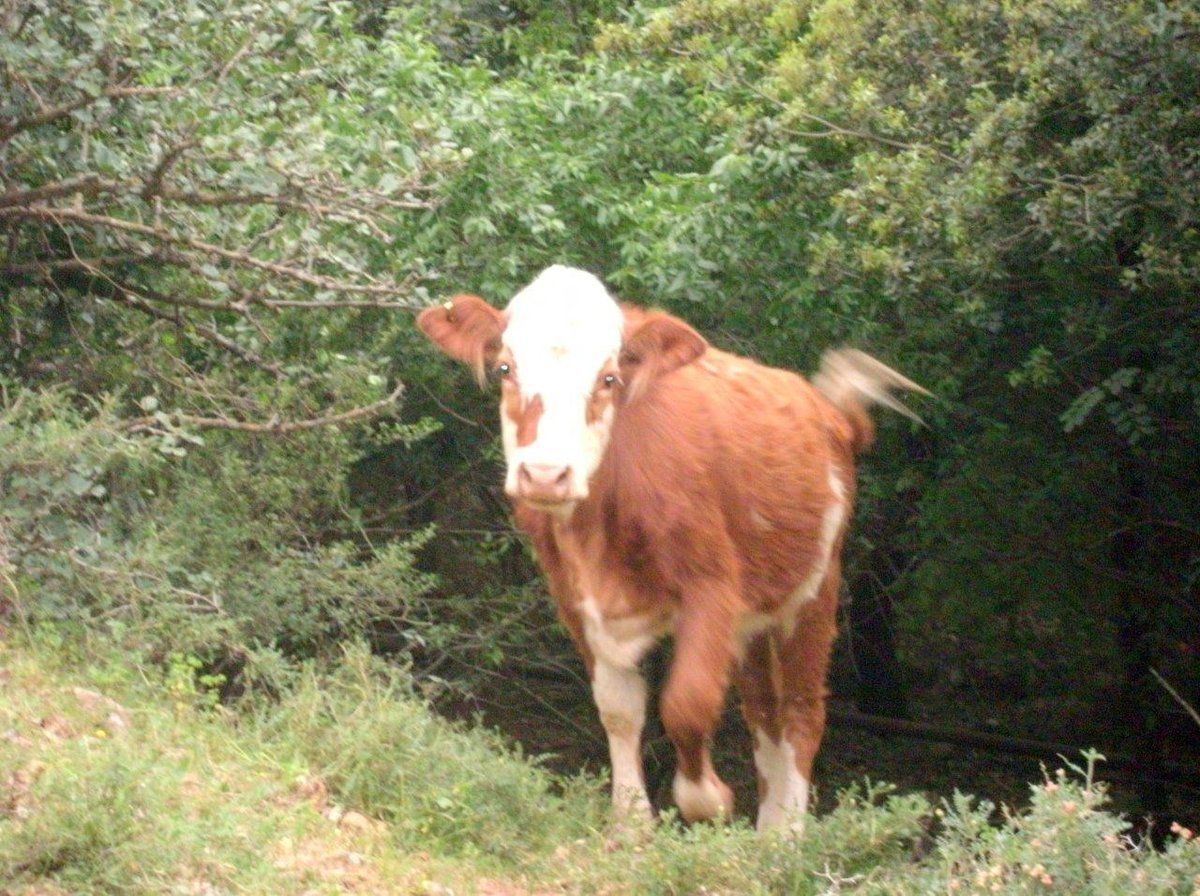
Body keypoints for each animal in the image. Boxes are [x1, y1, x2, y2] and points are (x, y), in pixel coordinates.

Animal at [415, 266, 926, 834]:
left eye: (609, 378)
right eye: (506, 367)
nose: (546, 474)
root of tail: (828, 413)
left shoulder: (713, 587)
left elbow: (688, 702)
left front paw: (707, 799)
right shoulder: (576, 601)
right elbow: (618, 709)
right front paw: (631, 825)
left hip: (813, 592)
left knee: (800, 713)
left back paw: (789, 837)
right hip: (756, 622)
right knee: (764, 716)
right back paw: (768, 835)